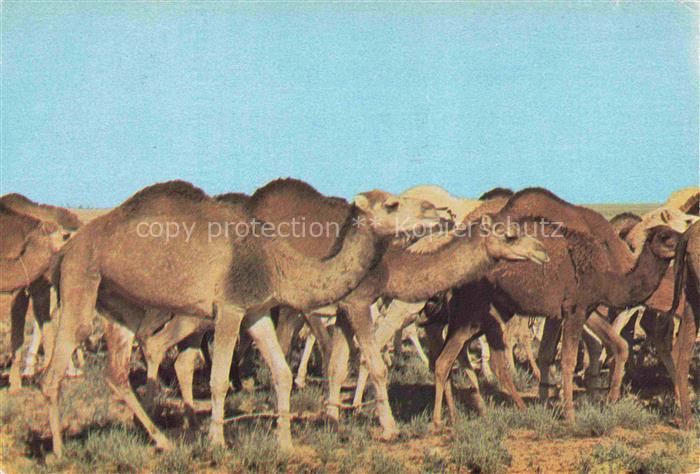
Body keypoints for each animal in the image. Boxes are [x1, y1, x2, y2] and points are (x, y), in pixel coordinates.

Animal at [42, 178, 446, 457]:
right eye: (392, 204)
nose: (434, 210)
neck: (278, 263)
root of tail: (66, 248)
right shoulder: (230, 308)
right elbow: (219, 378)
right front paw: (217, 440)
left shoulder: (257, 311)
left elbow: (282, 373)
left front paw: (285, 443)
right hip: (81, 278)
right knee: (57, 367)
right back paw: (59, 451)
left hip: (117, 302)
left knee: (116, 373)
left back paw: (162, 441)